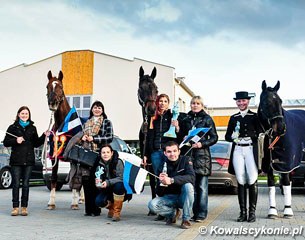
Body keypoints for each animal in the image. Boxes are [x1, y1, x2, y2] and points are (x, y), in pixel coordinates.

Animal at [258, 80, 304, 219]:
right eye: (266, 102)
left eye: (280, 101)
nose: (281, 128)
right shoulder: (269, 165)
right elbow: (271, 185)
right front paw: (272, 211)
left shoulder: (286, 163)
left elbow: (286, 183)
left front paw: (288, 210)